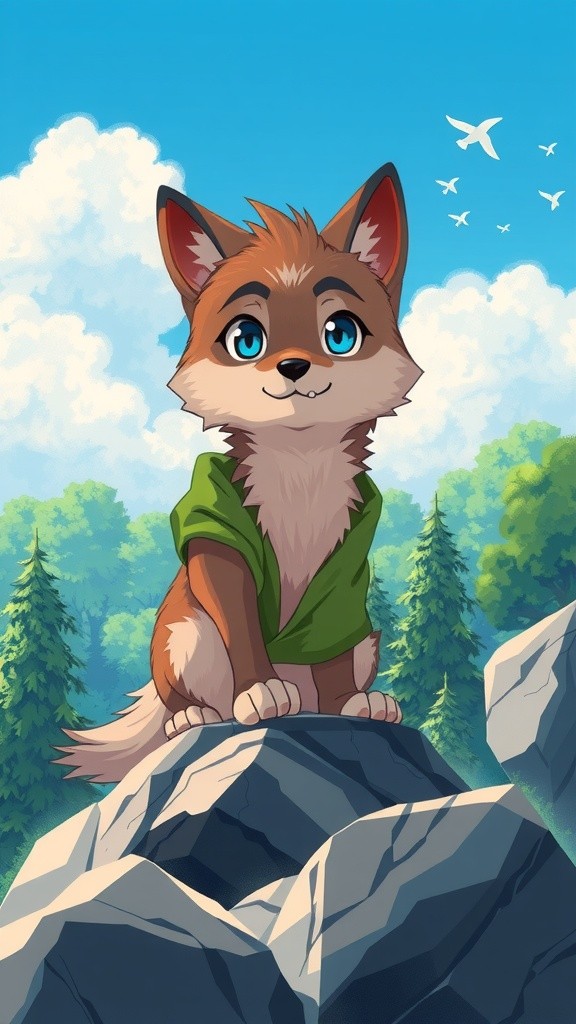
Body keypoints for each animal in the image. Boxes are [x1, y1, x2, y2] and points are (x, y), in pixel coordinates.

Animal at [56, 163, 422, 783]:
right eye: (246, 339)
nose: (294, 366)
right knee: (184, 694)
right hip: (182, 634)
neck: (300, 469)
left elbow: (332, 648)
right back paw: (195, 715)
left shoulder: (346, 566)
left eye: (340, 333)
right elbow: (242, 623)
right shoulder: (218, 535)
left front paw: (349, 703)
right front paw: (260, 692)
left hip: (367, 642)